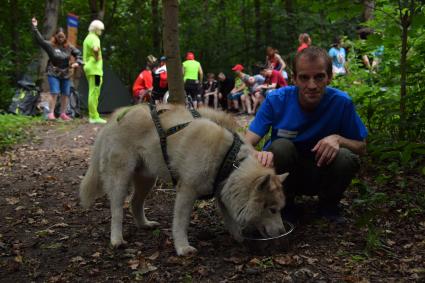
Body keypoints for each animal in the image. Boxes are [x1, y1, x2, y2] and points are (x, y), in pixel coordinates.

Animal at [79, 105, 286, 258]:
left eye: (279, 210)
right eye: (272, 210)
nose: (282, 231)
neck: (231, 159)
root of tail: (116, 116)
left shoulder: (223, 190)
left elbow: (231, 220)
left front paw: (239, 238)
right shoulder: (187, 191)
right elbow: (181, 223)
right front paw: (182, 248)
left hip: (147, 179)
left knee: (134, 203)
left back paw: (144, 224)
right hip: (120, 178)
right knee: (117, 210)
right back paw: (116, 239)